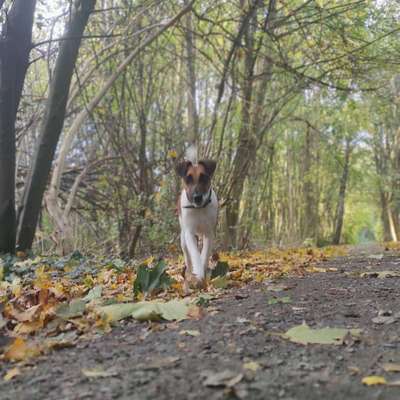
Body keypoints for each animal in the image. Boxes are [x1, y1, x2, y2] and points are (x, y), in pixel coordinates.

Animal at [176, 158, 217, 290]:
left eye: (203, 177)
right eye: (188, 179)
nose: (197, 197)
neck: (199, 209)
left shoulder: (209, 233)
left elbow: (204, 254)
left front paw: (202, 272)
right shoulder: (189, 233)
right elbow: (195, 254)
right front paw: (198, 273)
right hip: (183, 239)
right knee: (188, 258)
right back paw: (189, 272)